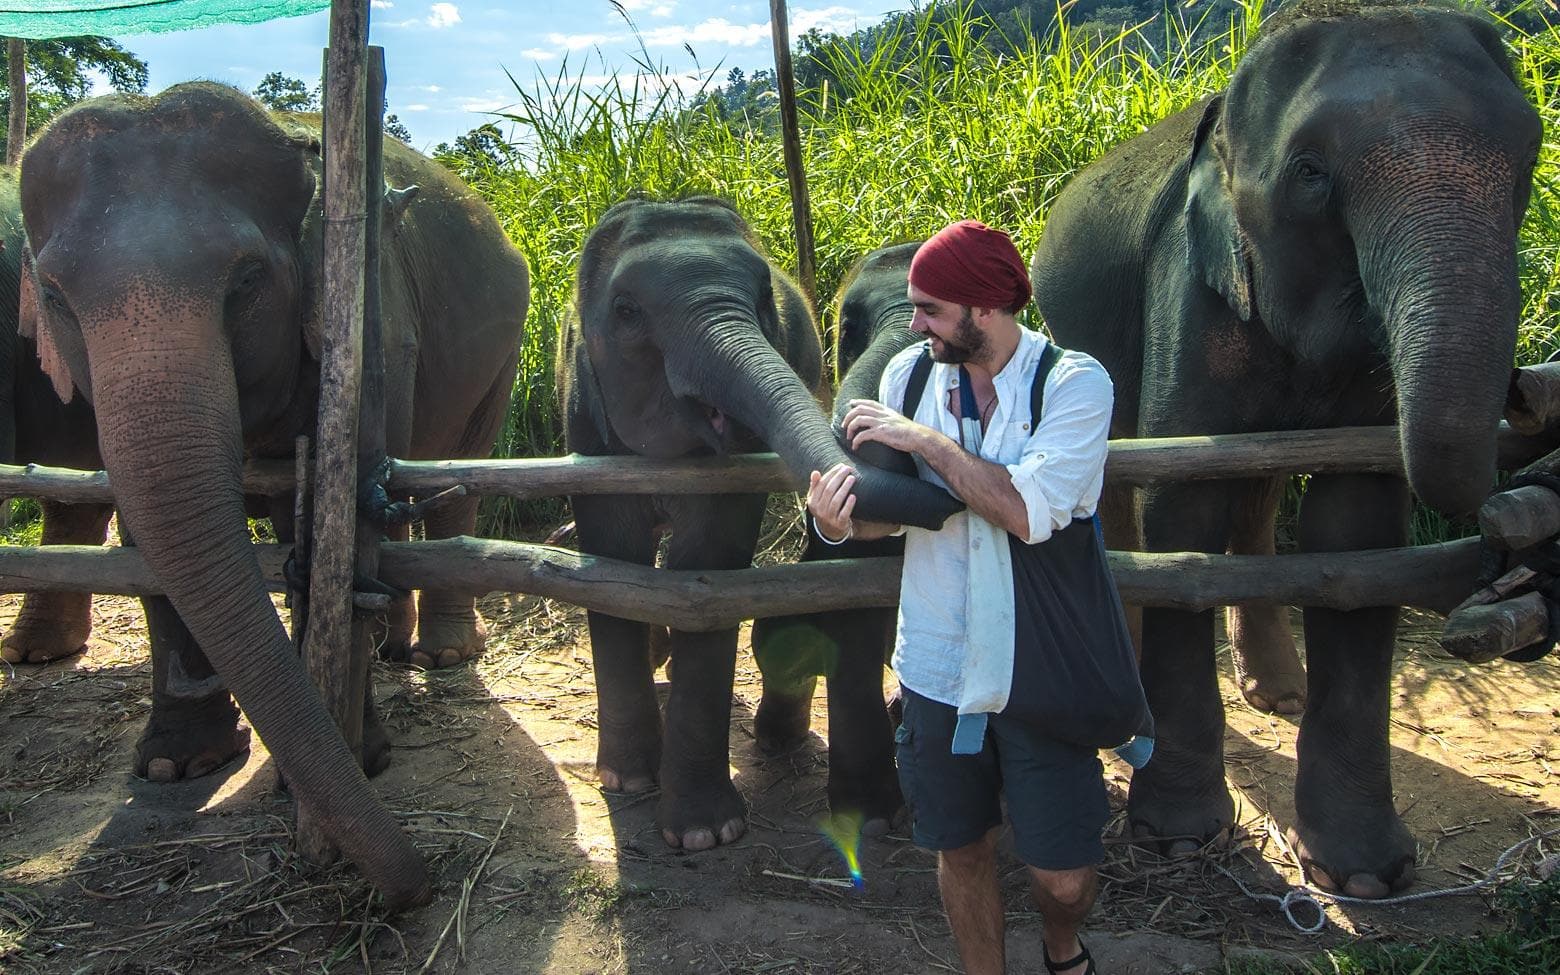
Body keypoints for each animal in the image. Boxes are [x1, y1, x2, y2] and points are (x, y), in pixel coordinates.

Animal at [18, 85, 533, 904]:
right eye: (57, 296)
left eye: (248, 280)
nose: (420, 887)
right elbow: (143, 535)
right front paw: (176, 765)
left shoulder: (378, 319)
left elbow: (328, 521)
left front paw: (361, 762)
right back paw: (392, 649)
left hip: (499, 356)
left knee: (453, 483)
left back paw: (443, 654)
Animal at [1029, 1, 1541, 898]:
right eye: (1310, 173)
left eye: (1531, 162)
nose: (1519, 391)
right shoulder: (1190, 280)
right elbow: (1184, 509)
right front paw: (1178, 840)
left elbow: (1358, 525)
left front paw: (1364, 874)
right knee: (1124, 472)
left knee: (1258, 483)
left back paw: (1280, 691)